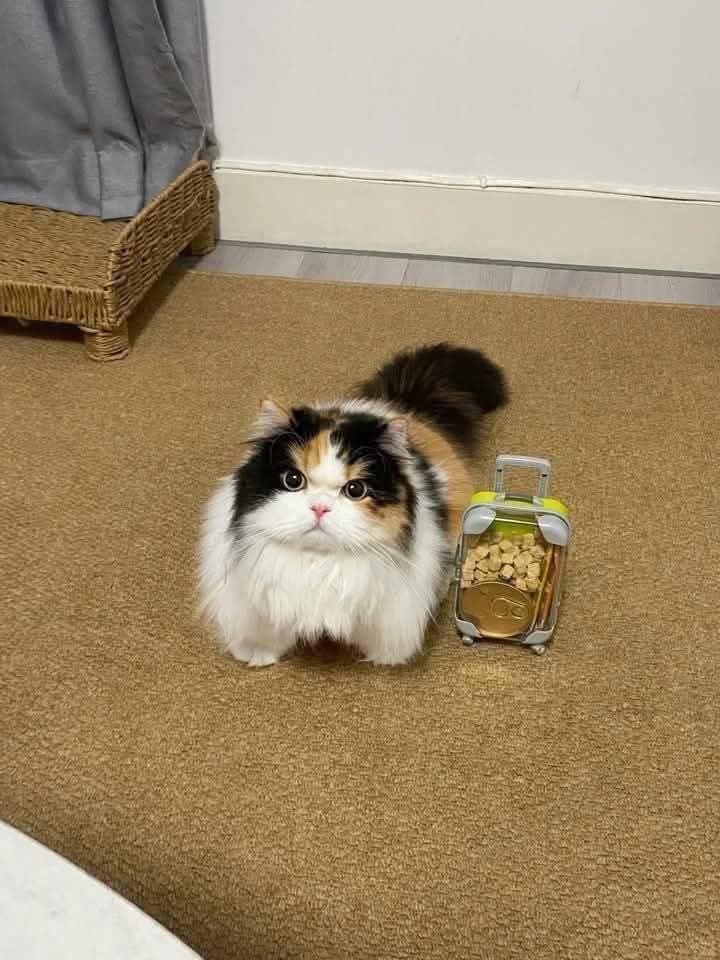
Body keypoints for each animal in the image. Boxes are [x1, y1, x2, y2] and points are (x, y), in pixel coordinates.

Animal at [199, 343, 507, 666]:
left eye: (355, 490)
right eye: (293, 480)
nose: (320, 508)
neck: (318, 562)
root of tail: (405, 407)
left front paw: (384, 658)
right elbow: (267, 633)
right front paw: (258, 655)